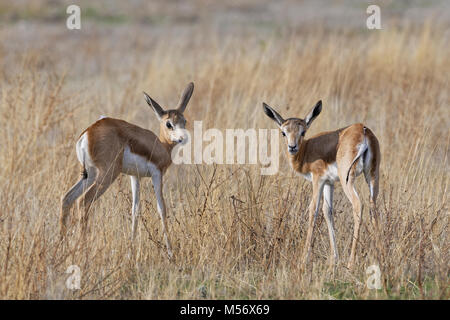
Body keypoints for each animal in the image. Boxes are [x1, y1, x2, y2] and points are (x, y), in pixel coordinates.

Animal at [60, 82, 194, 258]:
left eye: (184, 121)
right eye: (169, 123)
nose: (183, 138)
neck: (161, 146)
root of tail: (88, 132)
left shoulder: (135, 176)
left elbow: (135, 210)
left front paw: (131, 250)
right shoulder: (157, 174)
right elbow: (162, 209)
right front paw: (170, 253)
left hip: (90, 175)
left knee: (67, 198)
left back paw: (61, 247)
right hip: (107, 175)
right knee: (83, 201)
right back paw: (84, 251)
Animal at [262, 100, 382, 270]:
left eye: (303, 132)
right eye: (283, 132)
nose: (292, 147)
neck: (307, 151)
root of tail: (363, 130)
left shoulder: (317, 180)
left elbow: (314, 209)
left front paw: (304, 259)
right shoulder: (329, 183)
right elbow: (327, 211)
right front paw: (334, 259)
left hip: (348, 179)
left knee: (358, 205)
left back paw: (351, 262)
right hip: (372, 176)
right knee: (373, 208)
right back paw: (380, 256)